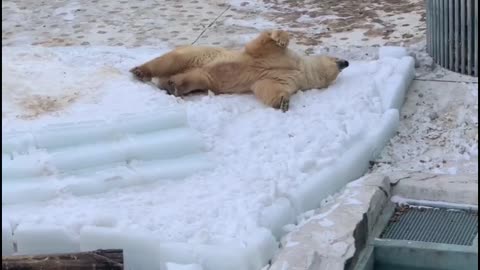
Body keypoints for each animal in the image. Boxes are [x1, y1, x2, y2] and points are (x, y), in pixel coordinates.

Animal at [131, 30, 348, 112]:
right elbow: (263, 44)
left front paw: (283, 101)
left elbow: (267, 87)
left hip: (202, 75)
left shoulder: (287, 79)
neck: (298, 68)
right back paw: (140, 71)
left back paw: (173, 85)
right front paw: (280, 37)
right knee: (170, 60)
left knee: (196, 78)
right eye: (336, 58)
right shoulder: (281, 57)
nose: (346, 62)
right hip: (199, 54)